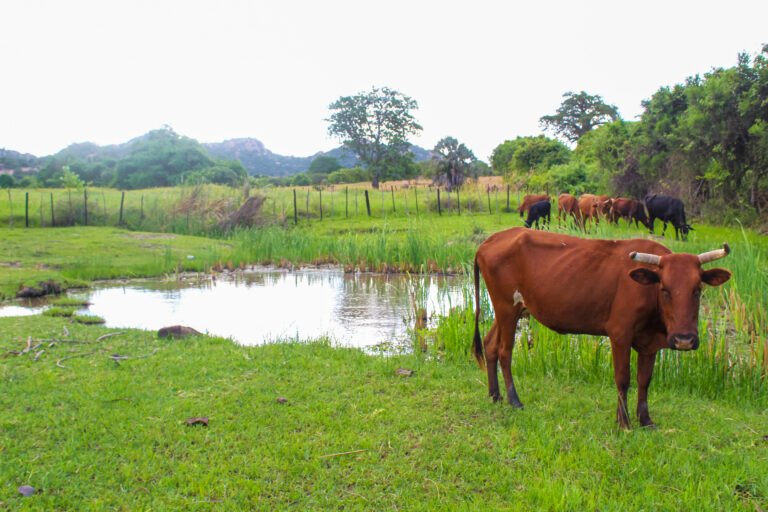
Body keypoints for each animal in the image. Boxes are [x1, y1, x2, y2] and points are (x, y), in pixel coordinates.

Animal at [472, 228, 731, 428]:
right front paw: (624, 422)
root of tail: (490, 240)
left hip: (510, 311)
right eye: (664, 289)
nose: (684, 340)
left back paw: (494, 395)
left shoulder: (650, 343)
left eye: (698, 289)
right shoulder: (620, 334)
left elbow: (644, 379)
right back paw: (514, 400)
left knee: (490, 345)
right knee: (505, 351)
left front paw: (645, 420)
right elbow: (623, 378)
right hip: (507, 308)